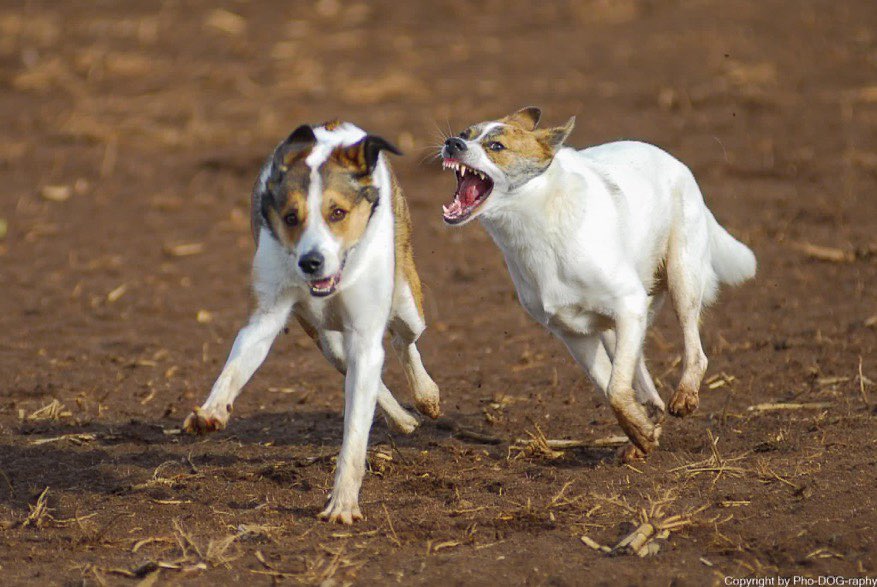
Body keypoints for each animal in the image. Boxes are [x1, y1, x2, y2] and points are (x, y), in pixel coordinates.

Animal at [186, 119, 444, 524]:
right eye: (291, 217)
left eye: (337, 213)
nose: (310, 262)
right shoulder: (269, 314)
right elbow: (236, 365)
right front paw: (211, 411)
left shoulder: (366, 333)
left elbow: (355, 430)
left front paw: (343, 504)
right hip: (326, 340)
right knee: (359, 366)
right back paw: (403, 419)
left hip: (405, 302)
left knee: (403, 340)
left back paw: (426, 396)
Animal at [438, 107, 752, 460]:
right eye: (465, 133)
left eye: (496, 146)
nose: (452, 143)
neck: (538, 224)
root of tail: (677, 163)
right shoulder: (576, 335)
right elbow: (608, 388)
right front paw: (640, 431)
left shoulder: (628, 303)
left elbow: (615, 389)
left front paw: (641, 430)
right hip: (621, 325)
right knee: (642, 378)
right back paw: (649, 422)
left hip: (681, 280)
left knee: (695, 349)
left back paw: (684, 397)